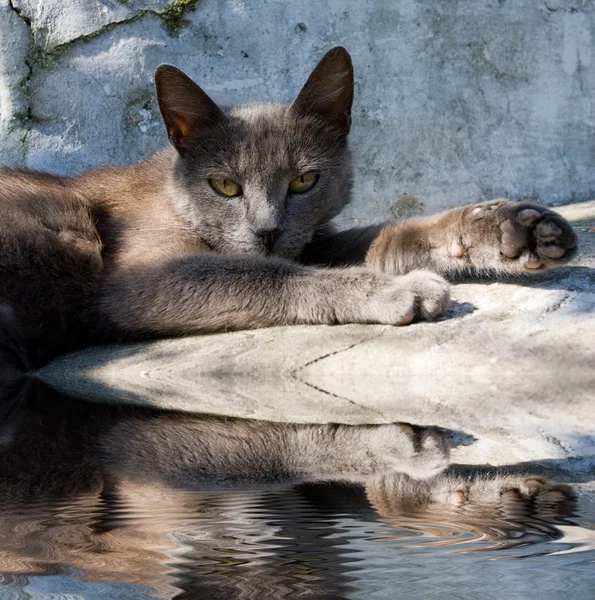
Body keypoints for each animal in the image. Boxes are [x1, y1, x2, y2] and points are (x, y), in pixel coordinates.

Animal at [0, 45, 580, 366]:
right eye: (225, 186)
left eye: (304, 180)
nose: (268, 230)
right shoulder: (138, 277)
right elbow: (262, 274)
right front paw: (397, 291)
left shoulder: (312, 237)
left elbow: (386, 238)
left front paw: (512, 230)